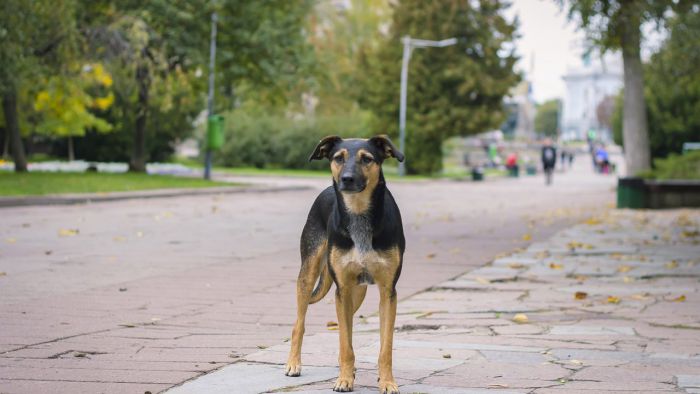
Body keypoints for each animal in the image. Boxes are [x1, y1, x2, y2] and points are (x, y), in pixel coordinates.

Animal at [284, 135, 404, 390]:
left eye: (367, 159)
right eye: (338, 158)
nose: (346, 179)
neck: (358, 213)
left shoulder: (388, 292)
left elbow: (385, 347)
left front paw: (387, 381)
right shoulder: (342, 289)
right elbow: (345, 343)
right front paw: (344, 380)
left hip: (357, 292)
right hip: (309, 275)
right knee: (299, 323)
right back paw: (294, 364)